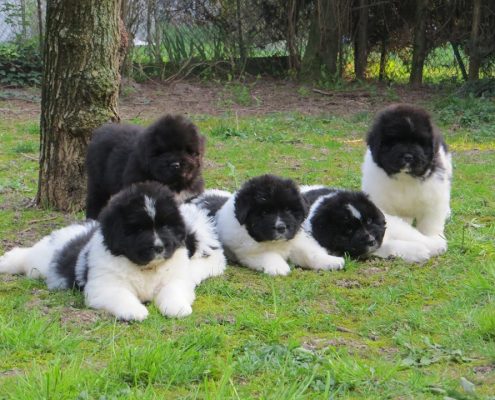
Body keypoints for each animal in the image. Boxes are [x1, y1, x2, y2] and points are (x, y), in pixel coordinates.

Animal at [0, 183, 225, 320]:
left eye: (165, 226)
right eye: (139, 230)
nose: (159, 247)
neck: (145, 269)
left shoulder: (176, 279)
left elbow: (173, 291)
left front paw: (177, 308)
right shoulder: (105, 286)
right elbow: (121, 295)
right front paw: (135, 311)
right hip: (40, 262)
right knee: (25, 256)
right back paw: (8, 261)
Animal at [192, 175, 346, 276]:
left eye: (288, 210)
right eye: (265, 212)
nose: (281, 227)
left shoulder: (296, 241)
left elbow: (311, 253)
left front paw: (331, 261)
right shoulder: (249, 251)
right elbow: (268, 254)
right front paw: (279, 267)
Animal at [302, 184, 450, 262]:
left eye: (368, 221)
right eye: (349, 231)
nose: (371, 240)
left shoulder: (390, 224)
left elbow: (410, 233)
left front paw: (435, 245)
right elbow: (388, 246)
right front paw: (418, 251)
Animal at [360, 104, 454, 239]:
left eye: (419, 142)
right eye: (395, 142)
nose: (408, 157)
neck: (405, 177)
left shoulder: (433, 200)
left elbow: (430, 224)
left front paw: (433, 238)